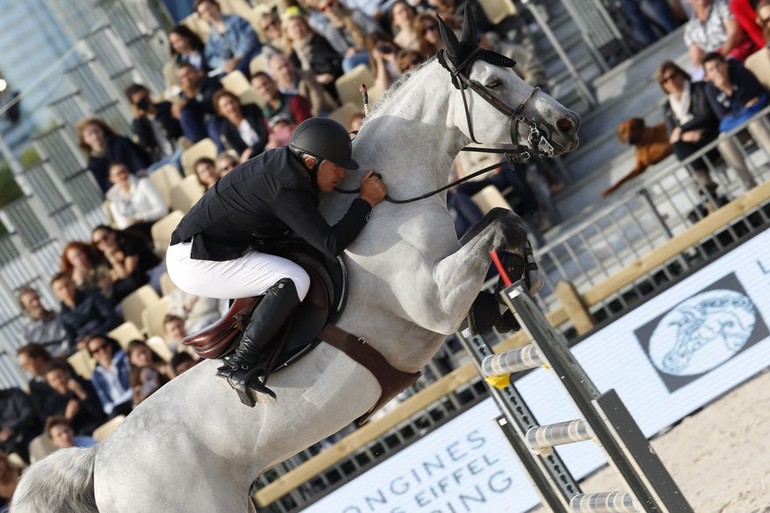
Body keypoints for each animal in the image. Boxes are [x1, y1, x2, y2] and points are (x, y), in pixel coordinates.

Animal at [13, 14, 576, 510]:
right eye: (495, 82)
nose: (566, 125)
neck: (394, 200)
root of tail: (100, 460)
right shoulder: (431, 301)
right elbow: (500, 223)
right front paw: (515, 285)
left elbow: (501, 220)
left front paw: (509, 294)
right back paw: (240, 378)